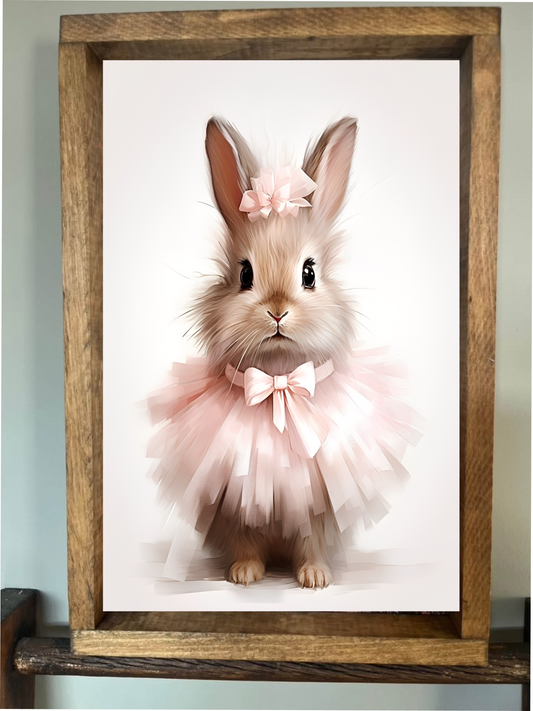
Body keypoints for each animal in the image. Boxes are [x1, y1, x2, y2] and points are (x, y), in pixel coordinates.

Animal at [147, 117, 423, 589]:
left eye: (309, 273)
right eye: (244, 274)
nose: (277, 312)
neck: (278, 382)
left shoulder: (317, 503)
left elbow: (310, 538)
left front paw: (315, 579)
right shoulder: (236, 498)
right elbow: (245, 537)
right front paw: (244, 575)